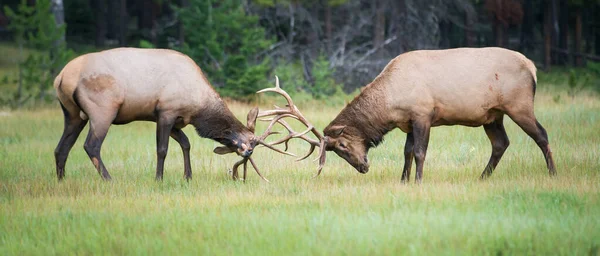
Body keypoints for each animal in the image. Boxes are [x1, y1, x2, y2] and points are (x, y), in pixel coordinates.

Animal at [52, 47, 286, 180]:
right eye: (251, 141)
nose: (248, 153)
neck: (198, 107)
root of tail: (61, 77)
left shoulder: (176, 120)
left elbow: (186, 143)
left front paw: (188, 177)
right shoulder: (166, 111)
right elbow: (162, 149)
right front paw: (159, 178)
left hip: (72, 114)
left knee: (61, 149)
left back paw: (62, 180)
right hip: (102, 110)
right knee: (91, 145)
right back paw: (109, 179)